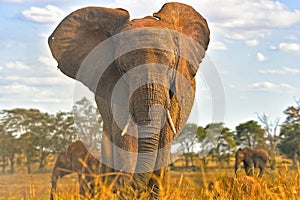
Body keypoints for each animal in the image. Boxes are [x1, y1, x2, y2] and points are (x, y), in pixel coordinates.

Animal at [48, 1, 210, 197]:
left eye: (171, 66)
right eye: (123, 69)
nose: (134, 189)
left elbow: (163, 140)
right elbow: (126, 139)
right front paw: (126, 189)